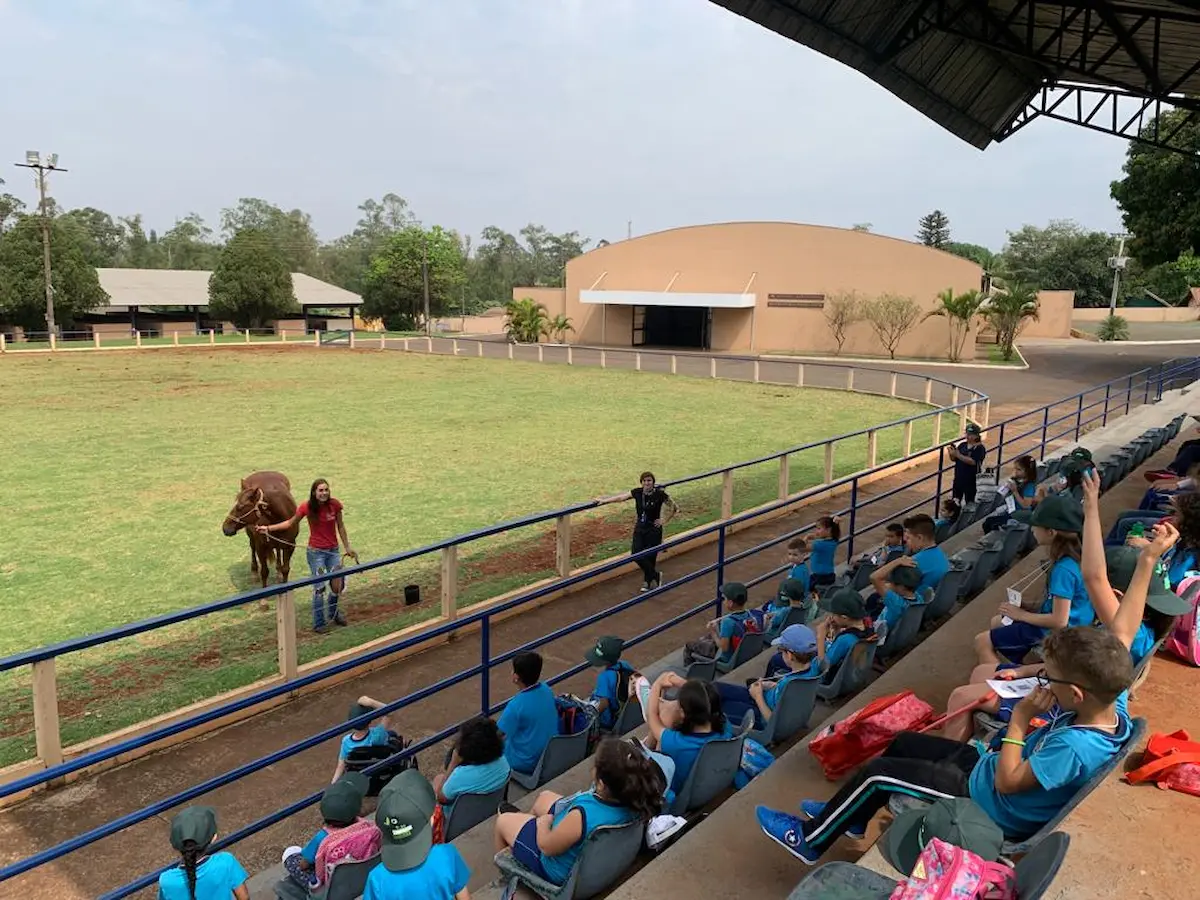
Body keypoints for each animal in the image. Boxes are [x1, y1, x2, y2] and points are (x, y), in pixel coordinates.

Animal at [224, 472, 300, 607]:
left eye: (240, 507)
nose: (225, 528)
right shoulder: (261, 546)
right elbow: (264, 571)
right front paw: (263, 601)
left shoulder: (290, 545)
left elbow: (286, 569)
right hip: (251, 536)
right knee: (252, 548)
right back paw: (254, 572)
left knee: (278, 551)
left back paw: (278, 571)